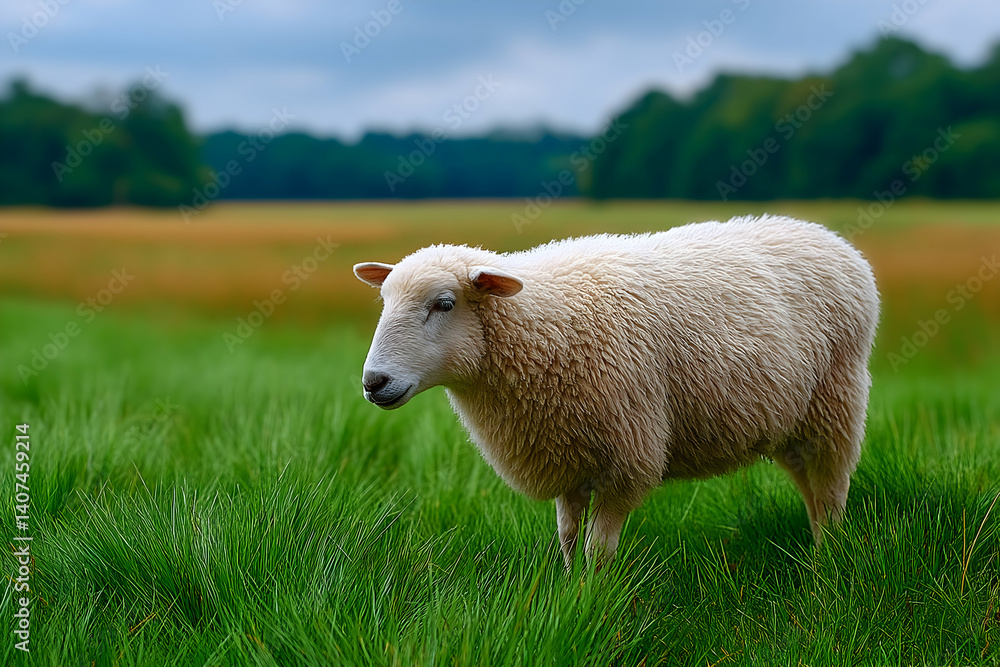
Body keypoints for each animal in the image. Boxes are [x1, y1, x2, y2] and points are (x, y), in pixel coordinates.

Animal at [353, 215, 879, 567]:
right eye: (384, 300)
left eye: (444, 303)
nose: (373, 383)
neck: (541, 325)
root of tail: (831, 238)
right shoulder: (563, 453)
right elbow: (568, 539)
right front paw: (569, 591)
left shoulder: (627, 459)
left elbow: (598, 550)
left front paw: (593, 600)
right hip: (795, 422)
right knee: (811, 490)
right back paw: (818, 548)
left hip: (836, 402)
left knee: (832, 491)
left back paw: (828, 559)